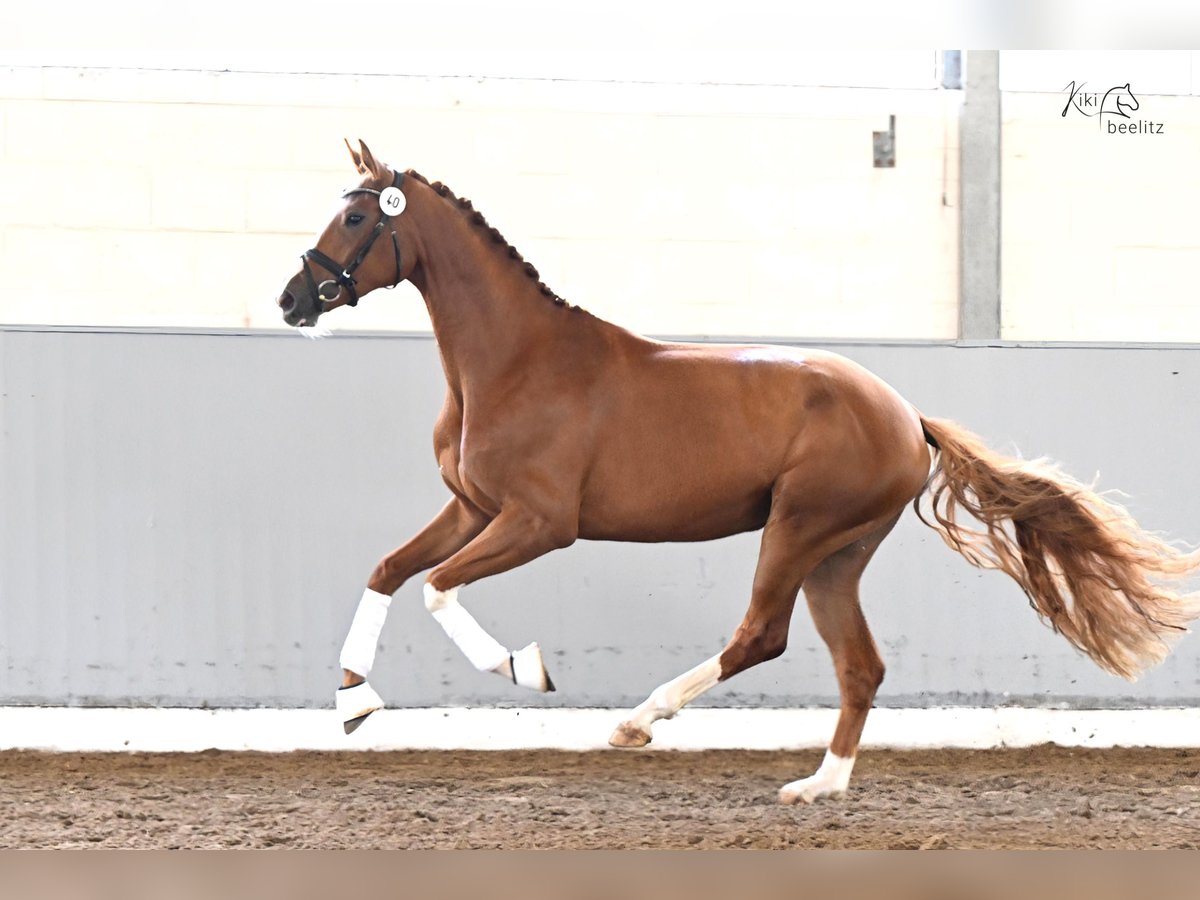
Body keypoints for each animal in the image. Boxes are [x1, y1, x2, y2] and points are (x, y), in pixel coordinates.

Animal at [274, 142, 1200, 811]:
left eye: (356, 215)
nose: (293, 299)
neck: (513, 363)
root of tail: (909, 419)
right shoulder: (471, 508)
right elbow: (390, 570)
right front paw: (353, 702)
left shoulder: (539, 523)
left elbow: (437, 589)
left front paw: (521, 666)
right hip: (837, 555)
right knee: (858, 666)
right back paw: (819, 785)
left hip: (798, 530)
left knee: (762, 635)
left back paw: (640, 723)